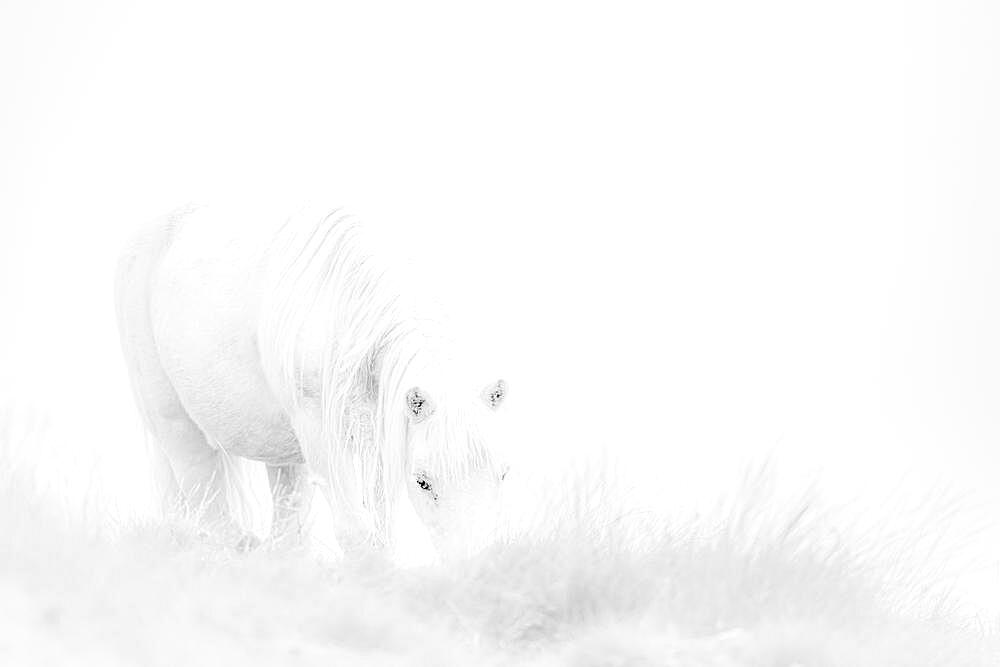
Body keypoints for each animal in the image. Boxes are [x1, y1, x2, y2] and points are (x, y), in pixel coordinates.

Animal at [114, 204, 512, 564]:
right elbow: (355, 533)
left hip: (280, 451)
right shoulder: (325, 438)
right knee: (208, 508)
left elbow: (381, 531)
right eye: (423, 482)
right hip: (175, 426)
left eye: (504, 473)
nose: (475, 568)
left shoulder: (383, 437)